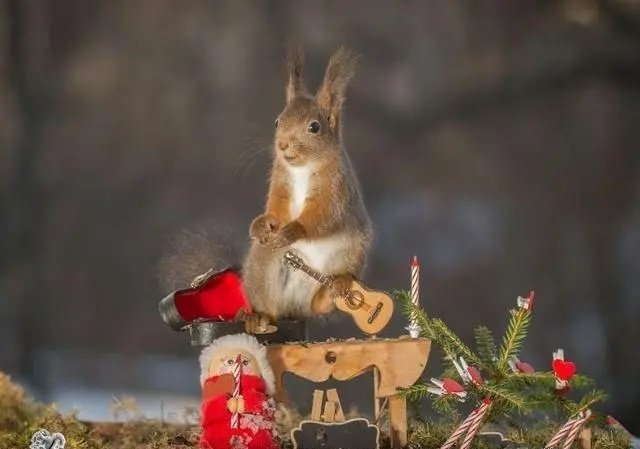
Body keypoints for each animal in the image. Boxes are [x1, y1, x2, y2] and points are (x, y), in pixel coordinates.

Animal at [245, 47, 376, 330]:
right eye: (277, 121)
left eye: (314, 127)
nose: (282, 145)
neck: (302, 167)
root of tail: (296, 306)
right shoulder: (281, 181)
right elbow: (277, 206)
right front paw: (262, 224)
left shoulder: (335, 188)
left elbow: (325, 214)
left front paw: (293, 230)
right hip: (264, 265)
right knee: (270, 306)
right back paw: (256, 317)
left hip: (353, 249)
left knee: (322, 306)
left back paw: (337, 287)